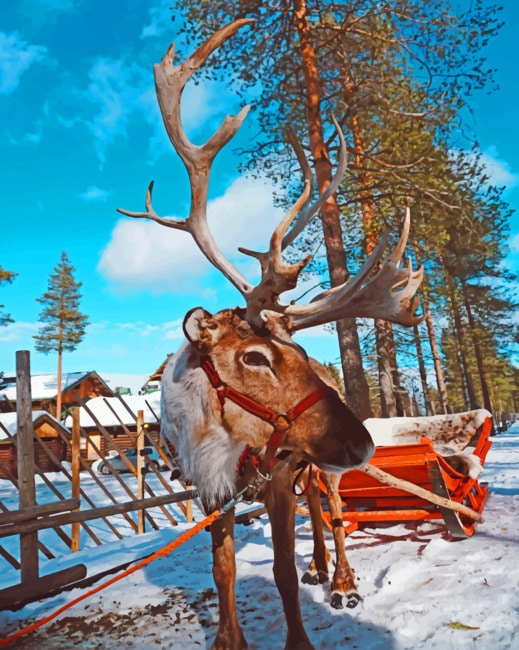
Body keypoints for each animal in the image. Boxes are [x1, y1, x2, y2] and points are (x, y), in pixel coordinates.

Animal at [118, 18, 423, 650]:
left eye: (303, 351)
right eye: (255, 357)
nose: (364, 445)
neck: (219, 442)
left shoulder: (279, 475)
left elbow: (281, 568)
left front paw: (301, 634)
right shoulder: (209, 491)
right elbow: (224, 569)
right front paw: (227, 638)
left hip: (321, 468)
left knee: (333, 512)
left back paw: (341, 580)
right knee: (318, 516)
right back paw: (320, 568)